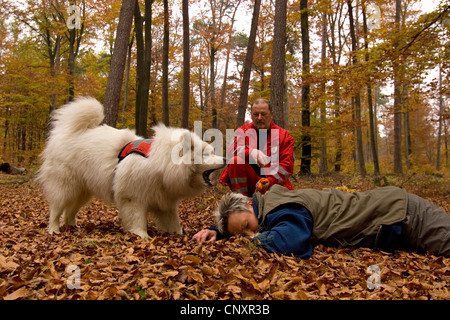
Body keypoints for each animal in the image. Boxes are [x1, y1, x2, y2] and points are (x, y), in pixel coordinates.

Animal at [39, 97, 227, 238]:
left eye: (211, 152)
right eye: (206, 154)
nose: (225, 159)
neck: (161, 165)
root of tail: (69, 133)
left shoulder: (164, 202)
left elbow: (174, 222)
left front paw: (179, 235)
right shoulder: (133, 198)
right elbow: (137, 219)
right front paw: (141, 235)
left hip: (83, 191)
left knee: (70, 211)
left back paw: (72, 226)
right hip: (65, 185)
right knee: (56, 208)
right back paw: (54, 229)